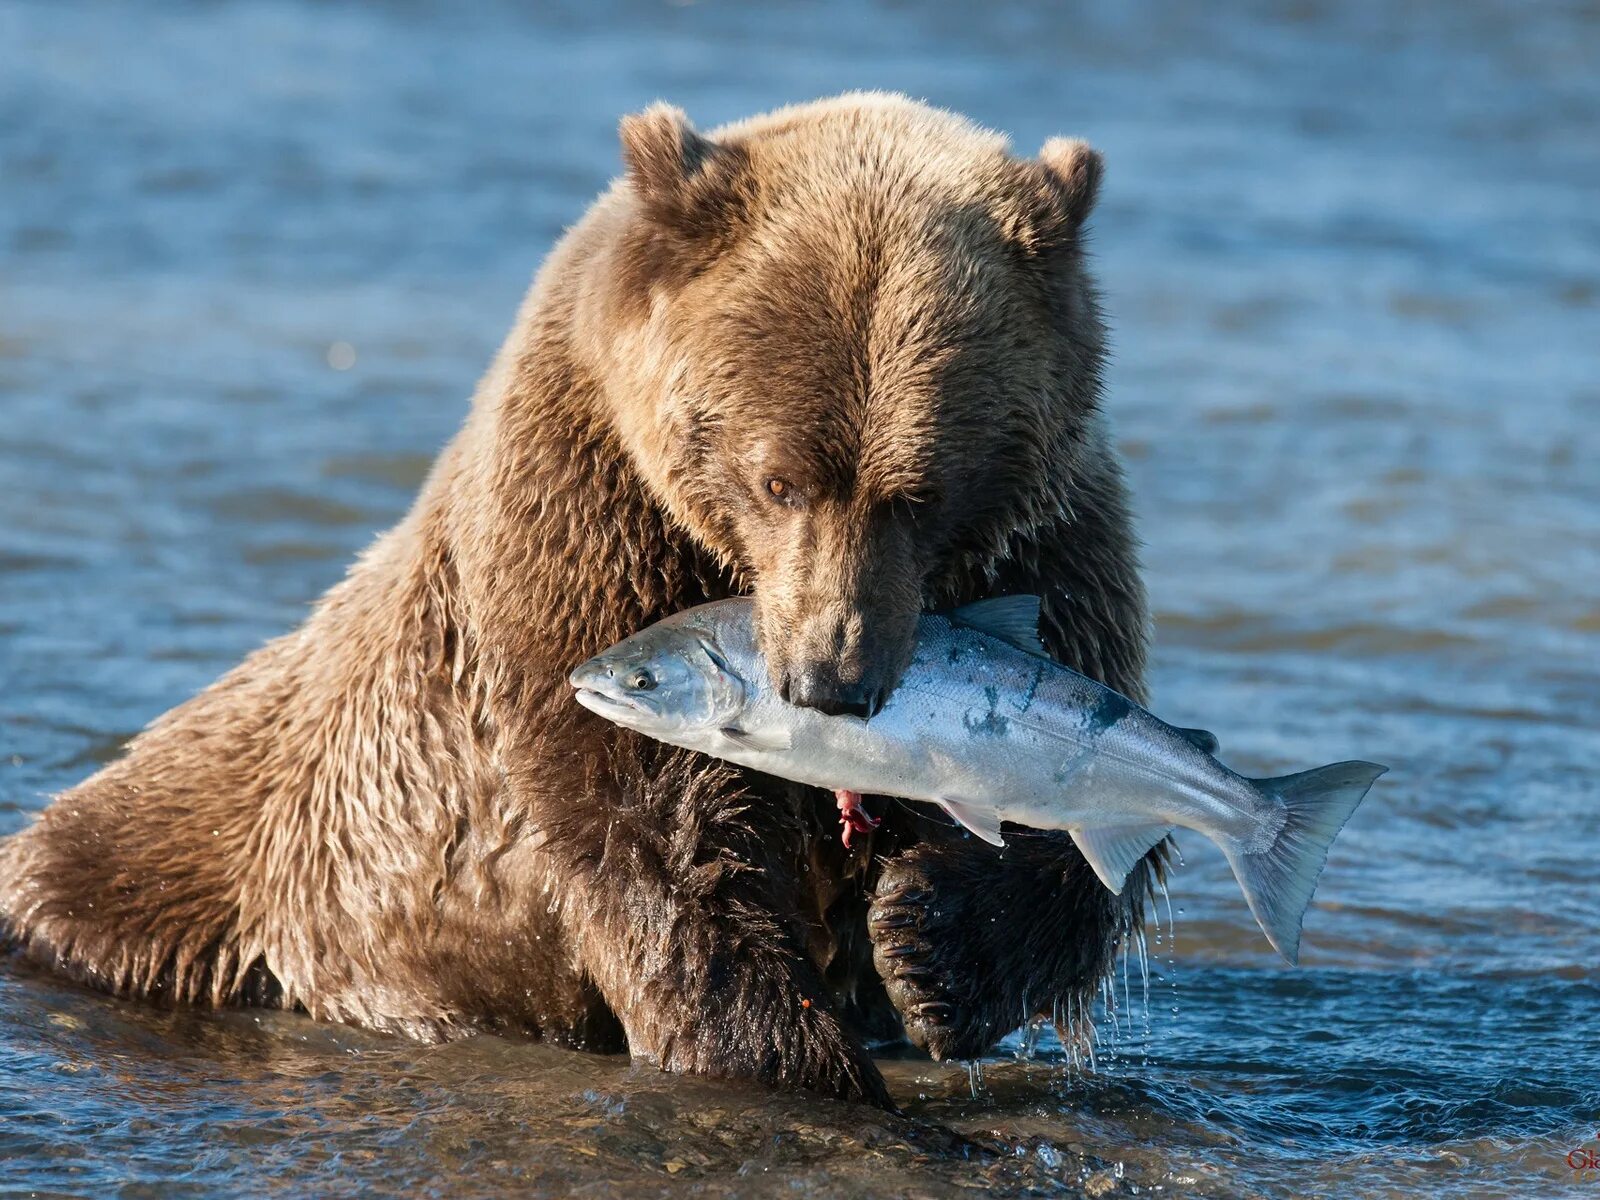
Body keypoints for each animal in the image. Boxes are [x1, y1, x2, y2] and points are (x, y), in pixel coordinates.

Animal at [0, 94, 1152, 1107]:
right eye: (779, 479)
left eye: (921, 492)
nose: (832, 678)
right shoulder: (586, 526)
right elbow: (654, 828)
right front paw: (790, 1057)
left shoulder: (1050, 546)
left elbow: (1083, 802)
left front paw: (928, 945)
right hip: (215, 846)